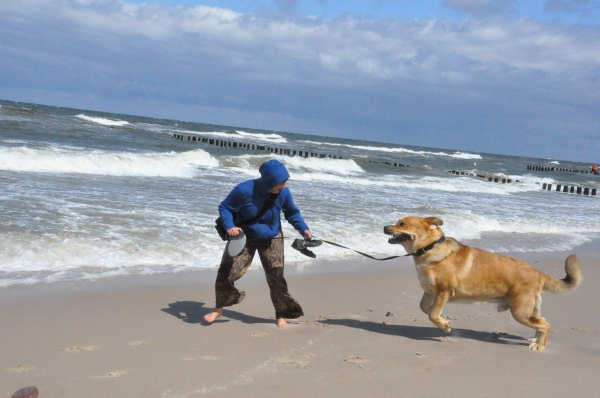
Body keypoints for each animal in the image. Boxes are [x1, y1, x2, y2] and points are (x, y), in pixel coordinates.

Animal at [384, 216, 580, 350]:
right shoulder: (429, 292)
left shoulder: (443, 291)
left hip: (520, 312)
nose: (384, 226)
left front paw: (445, 325)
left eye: (402, 224)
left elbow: (432, 314)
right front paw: (444, 320)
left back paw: (539, 345)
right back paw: (535, 339)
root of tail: (537, 272)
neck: (429, 248)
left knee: (545, 325)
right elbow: (426, 308)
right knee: (542, 322)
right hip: (529, 310)